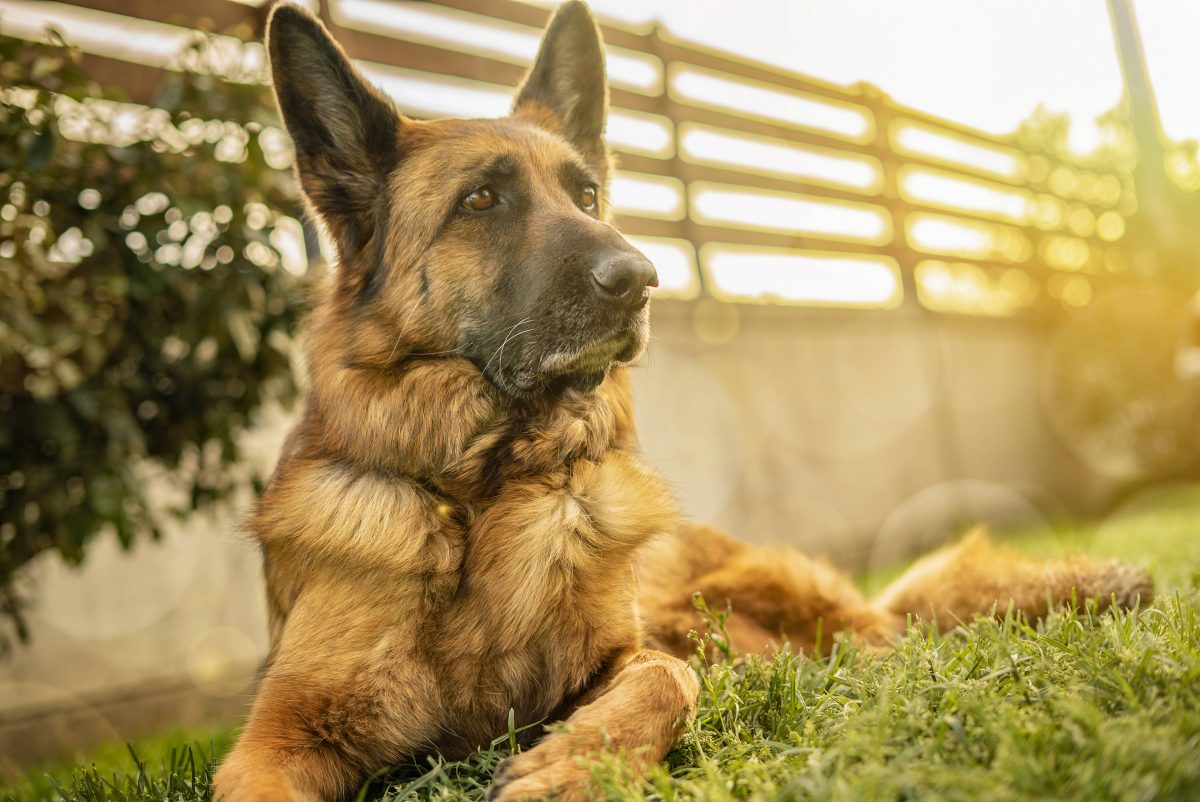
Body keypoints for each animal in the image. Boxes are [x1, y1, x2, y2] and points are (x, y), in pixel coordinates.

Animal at [213, 3, 1152, 797]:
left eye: (588, 195)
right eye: (480, 200)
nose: (640, 277)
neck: (487, 493)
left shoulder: (627, 654)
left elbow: (669, 674)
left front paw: (575, 765)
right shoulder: (275, 737)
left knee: (882, 637)